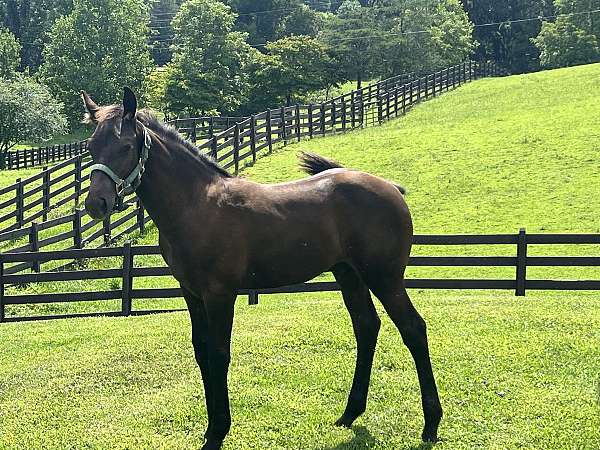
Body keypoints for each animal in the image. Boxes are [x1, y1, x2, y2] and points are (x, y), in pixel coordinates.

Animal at [82, 88, 442, 450]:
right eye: (91, 148)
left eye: (126, 146)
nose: (96, 204)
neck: (196, 205)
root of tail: (391, 188)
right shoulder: (191, 293)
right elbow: (201, 351)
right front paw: (210, 429)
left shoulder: (220, 294)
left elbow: (218, 353)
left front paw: (217, 432)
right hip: (348, 274)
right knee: (366, 327)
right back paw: (350, 413)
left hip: (384, 277)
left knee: (413, 328)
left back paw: (431, 424)